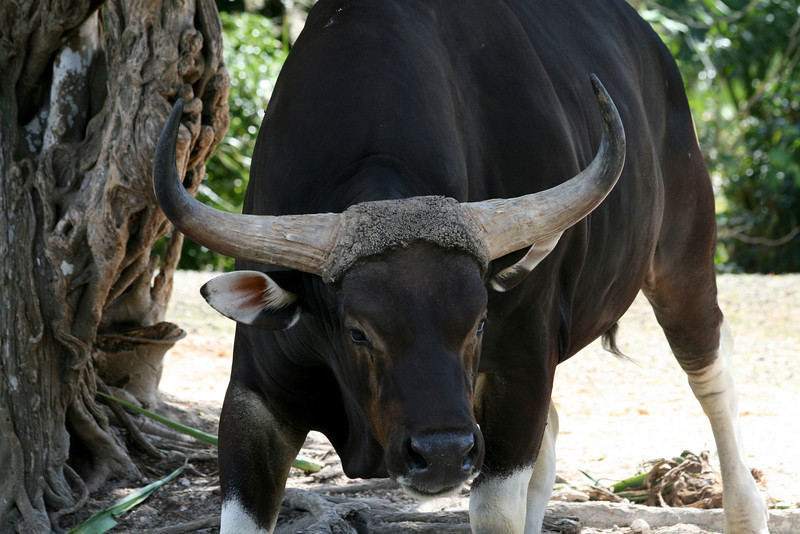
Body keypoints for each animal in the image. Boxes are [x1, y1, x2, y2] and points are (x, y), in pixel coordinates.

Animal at [153, 2, 772, 532]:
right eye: (357, 332)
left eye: (478, 323)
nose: (443, 455)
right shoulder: (254, 398)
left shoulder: (517, 373)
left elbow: (497, 509)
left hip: (684, 260)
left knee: (712, 372)